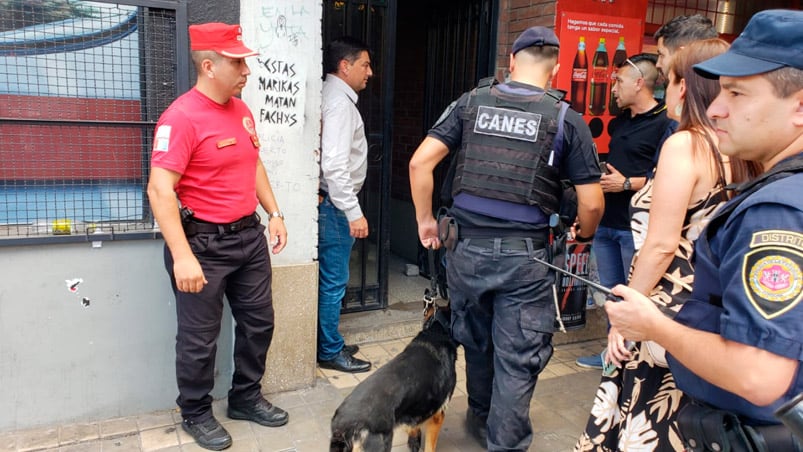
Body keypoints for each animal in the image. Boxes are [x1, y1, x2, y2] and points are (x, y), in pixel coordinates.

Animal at [330, 300, 458, 452]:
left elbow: (413, 428)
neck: (435, 333)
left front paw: (414, 441)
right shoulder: (438, 416)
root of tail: (344, 424)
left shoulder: (412, 414)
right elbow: (430, 447)